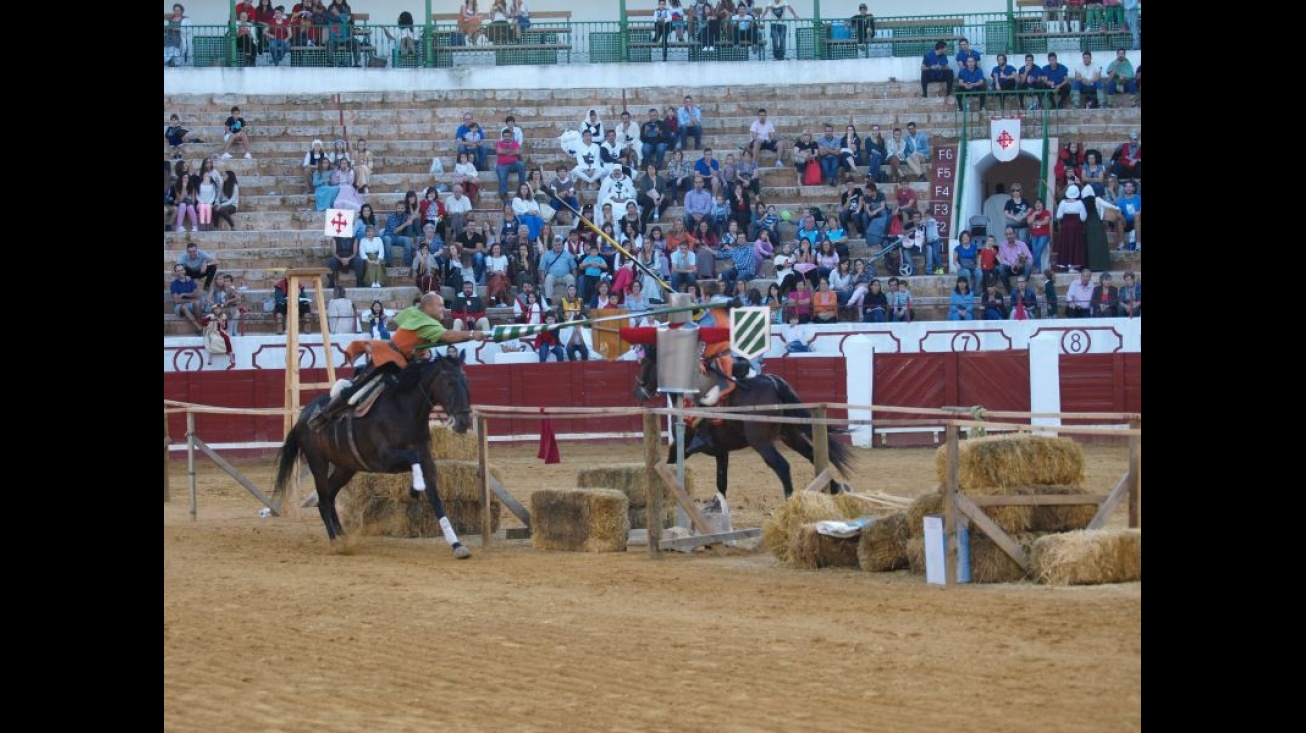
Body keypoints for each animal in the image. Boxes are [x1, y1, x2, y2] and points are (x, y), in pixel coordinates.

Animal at [274, 352, 475, 556]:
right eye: (449, 382)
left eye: (466, 381)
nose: (462, 422)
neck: (403, 410)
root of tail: (303, 416)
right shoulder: (386, 460)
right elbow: (412, 457)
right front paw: (415, 488)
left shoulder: (427, 462)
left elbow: (436, 500)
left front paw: (456, 544)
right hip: (318, 463)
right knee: (323, 500)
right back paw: (335, 542)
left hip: (346, 467)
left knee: (330, 496)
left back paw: (343, 536)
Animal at [634, 344, 856, 496]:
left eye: (645, 363)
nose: (639, 391)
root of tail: (772, 382)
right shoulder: (721, 451)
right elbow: (721, 483)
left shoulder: (682, 446)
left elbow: (669, 465)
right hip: (790, 436)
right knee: (813, 457)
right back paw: (838, 488)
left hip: (761, 442)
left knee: (782, 466)